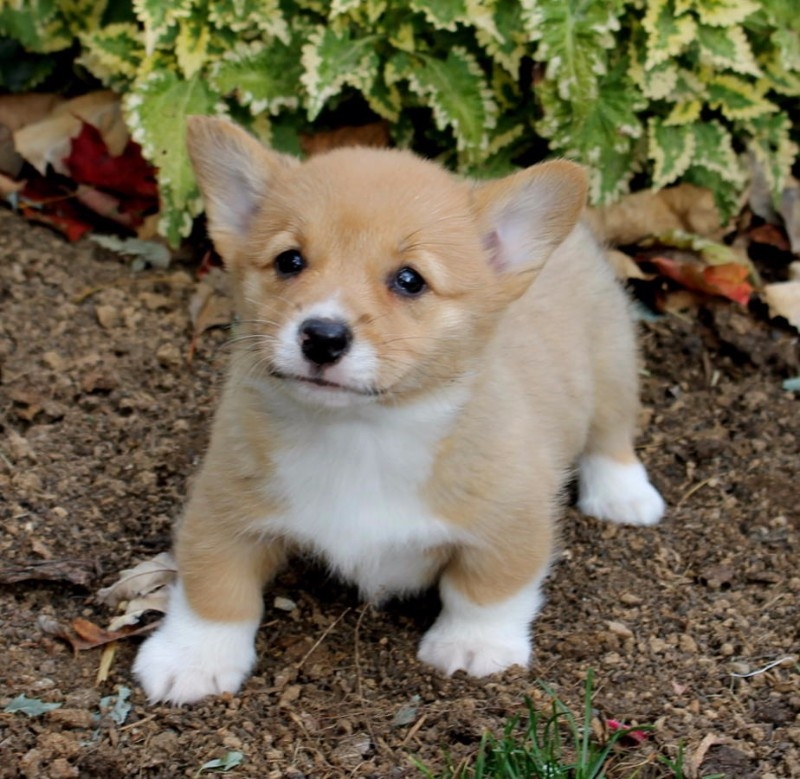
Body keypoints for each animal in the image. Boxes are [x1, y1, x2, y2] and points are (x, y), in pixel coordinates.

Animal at [133, 117, 664, 708]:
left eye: (410, 280)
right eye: (289, 261)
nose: (322, 337)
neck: (361, 433)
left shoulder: (513, 519)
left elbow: (487, 589)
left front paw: (472, 647)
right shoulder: (222, 508)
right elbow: (214, 586)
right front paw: (191, 659)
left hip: (612, 361)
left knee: (611, 433)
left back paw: (623, 495)